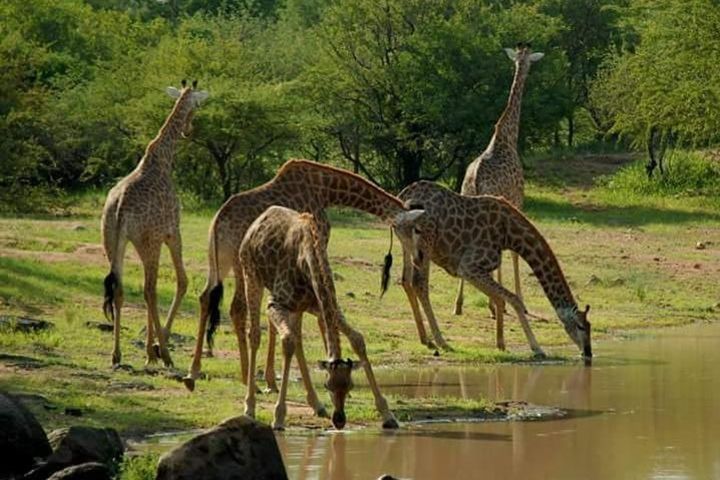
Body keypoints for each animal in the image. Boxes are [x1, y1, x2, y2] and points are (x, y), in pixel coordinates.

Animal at [101, 79, 208, 368]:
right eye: (196, 105)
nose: (188, 130)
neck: (163, 157)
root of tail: (120, 207)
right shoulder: (172, 232)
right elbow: (182, 282)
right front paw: (158, 348)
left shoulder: (143, 241)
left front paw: (150, 351)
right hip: (150, 241)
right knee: (150, 290)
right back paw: (167, 354)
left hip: (114, 241)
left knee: (121, 289)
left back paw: (116, 354)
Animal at [240, 206, 422, 432]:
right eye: (327, 385)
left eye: (350, 385)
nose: (340, 420)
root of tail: (260, 219)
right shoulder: (276, 303)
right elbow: (287, 340)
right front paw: (278, 417)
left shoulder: (323, 307)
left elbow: (357, 339)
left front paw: (387, 414)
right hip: (251, 276)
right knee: (256, 334)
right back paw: (249, 407)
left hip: (298, 308)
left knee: (298, 340)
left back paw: (317, 405)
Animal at [396, 180, 592, 360]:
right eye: (580, 325)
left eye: (589, 326)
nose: (588, 353)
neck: (510, 235)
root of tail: (403, 196)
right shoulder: (468, 266)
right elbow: (514, 299)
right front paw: (537, 348)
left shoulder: (474, 268)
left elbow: (499, 298)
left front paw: (501, 344)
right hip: (425, 243)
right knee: (419, 283)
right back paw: (441, 341)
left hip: (407, 244)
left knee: (406, 281)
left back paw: (425, 339)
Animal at [456, 42, 544, 342]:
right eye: (528, 61)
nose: (526, 67)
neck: (507, 137)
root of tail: (474, 180)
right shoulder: (518, 200)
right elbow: (514, 252)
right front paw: (518, 302)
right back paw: (493, 305)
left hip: (467, 200)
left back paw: (460, 304)